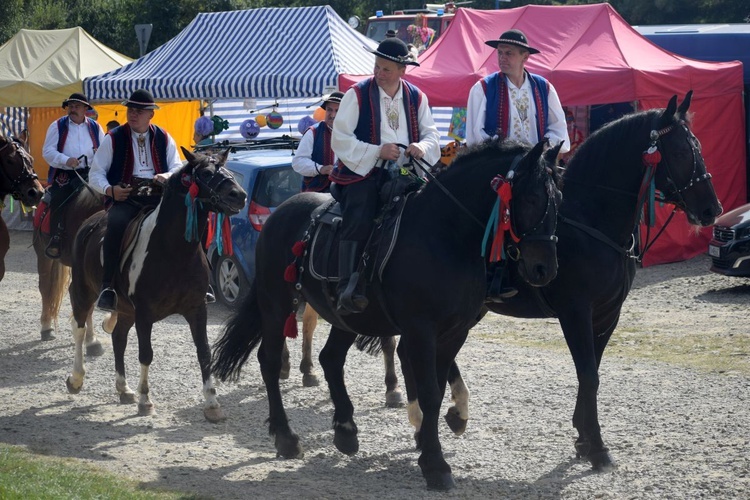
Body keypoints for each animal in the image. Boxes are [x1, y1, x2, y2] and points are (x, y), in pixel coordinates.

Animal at [65, 148, 245, 422]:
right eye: (205, 173)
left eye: (228, 171)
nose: (240, 195)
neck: (174, 252)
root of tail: (90, 222)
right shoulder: (145, 314)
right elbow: (146, 354)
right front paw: (145, 400)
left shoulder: (197, 309)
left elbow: (204, 352)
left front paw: (212, 403)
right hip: (84, 292)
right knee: (80, 328)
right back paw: (76, 379)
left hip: (125, 309)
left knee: (118, 338)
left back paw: (124, 388)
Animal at [212, 139, 564, 490]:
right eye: (531, 198)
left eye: (558, 199)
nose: (544, 269)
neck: (445, 234)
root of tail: (281, 211)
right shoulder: (420, 329)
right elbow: (429, 392)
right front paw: (435, 464)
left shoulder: (454, 331)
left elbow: (436, 388)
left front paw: (434, 436)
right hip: (276, 302)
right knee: (271, 361)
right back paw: (286, 437)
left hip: (345, 316)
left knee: (331, 358)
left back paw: (346, 430)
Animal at [402, 93, 724, 476]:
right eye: (678, 152)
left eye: (698, 147)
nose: (711, 209)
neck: (592, 219)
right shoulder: (576, 312)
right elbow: (588, 374)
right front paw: (597, 447)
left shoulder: (607, 314)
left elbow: (592, 372)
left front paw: (583, 438)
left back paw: (440, 420)